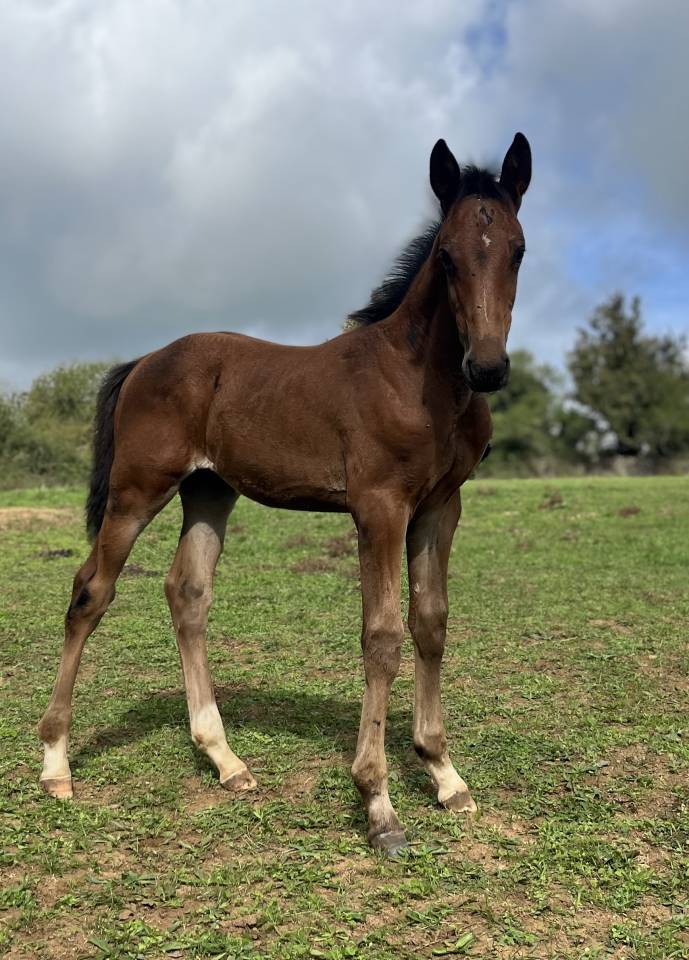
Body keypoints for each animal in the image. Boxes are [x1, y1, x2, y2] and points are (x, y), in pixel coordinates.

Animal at [38, 133, 531, 855]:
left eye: (518, 249)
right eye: (445, 256)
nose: (488, 367)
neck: (420, 379)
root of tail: (144, 362)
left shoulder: (441, 507)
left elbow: (431, 624)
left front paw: (444, 774)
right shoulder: (379, 507)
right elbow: (382, 635)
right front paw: (379, 806)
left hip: (208, 491)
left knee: (187, 593)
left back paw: (224, 759)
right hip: (137, 489)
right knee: (89, 592)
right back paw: (56, 764)